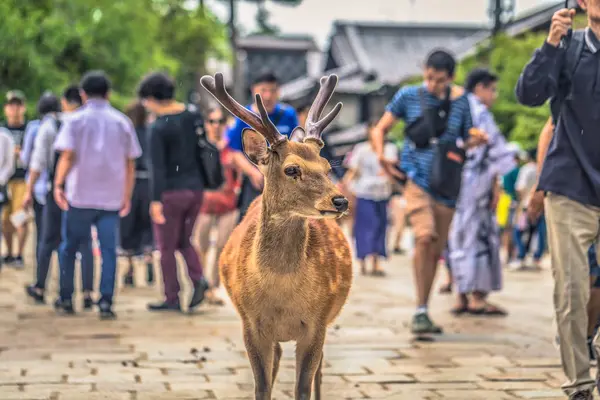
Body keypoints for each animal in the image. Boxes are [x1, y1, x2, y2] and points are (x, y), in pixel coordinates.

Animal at [199, 72, 354, 400]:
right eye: (291, 169)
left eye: (326, 167)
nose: (340, 201)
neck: (281, 295)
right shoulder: (251, 324)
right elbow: (262, 387)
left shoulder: (317, 323)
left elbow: (303, 388)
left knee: (319, 373)